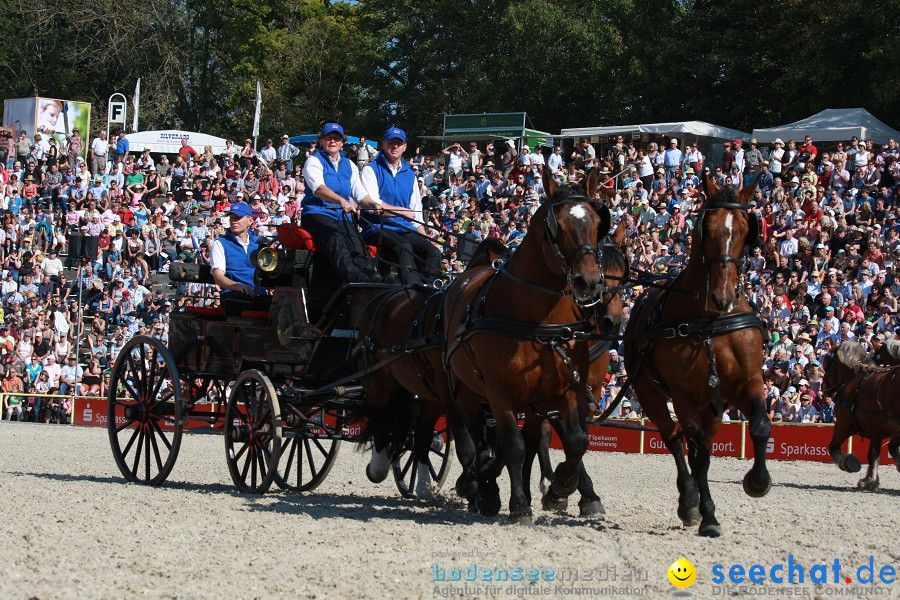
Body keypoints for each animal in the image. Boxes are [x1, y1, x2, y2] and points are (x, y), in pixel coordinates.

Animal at [442, 168, 612, 520]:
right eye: (555, 227)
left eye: (595, 223)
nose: (588, 282)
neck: (539, 322)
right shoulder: (500, 392)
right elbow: (513, 446)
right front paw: (519, 505)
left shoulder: (568, 389)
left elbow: (576, 440)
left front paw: (562, 486)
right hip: (464, 393)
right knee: (477, 441)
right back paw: (483, 489)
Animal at [624, 176, 768, 536]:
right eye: (708, 227)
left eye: (745, 229)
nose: (723, 295)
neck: (710, 323)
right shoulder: (684, 396)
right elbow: (697, 454)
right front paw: (708, 516)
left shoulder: (747, 384)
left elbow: (760, 426)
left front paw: (757, 481)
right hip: (650, 395)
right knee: (676, 440)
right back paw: (689, 501)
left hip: (712, 408)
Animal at [824, 340, 900, 490]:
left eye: (826, 362)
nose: (824, 388)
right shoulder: (877, 427)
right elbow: (874, 454)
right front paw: (870, 480)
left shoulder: (843, 424)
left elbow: (832, 447)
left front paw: (849, 462)